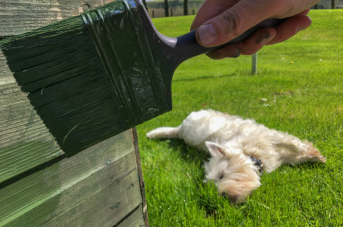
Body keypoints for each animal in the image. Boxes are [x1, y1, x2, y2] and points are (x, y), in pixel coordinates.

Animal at [146, 109, 326, 203]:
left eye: (221, 175)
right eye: (213, 183)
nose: (224, 197)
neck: (253, 156)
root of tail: (180, 128)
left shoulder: (271, 138)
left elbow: (294, 144)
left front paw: (316, 155)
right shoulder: (275, 152)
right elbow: (295, 156)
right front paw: (313, 156)